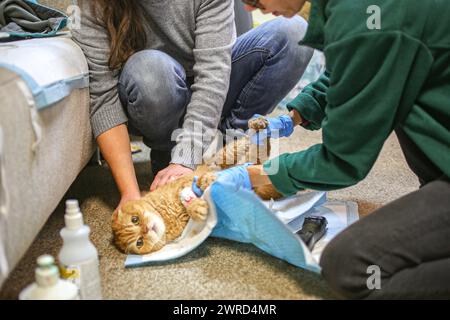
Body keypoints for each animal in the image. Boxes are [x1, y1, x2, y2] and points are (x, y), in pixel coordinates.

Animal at [112, 117, 282, 255]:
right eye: (139, 242)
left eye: (135, 219)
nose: (146, 229)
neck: (166, 215)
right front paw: (196, 207)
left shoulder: (183, 181)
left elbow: (194, 183)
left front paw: (204, 185)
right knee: (259, 155)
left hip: (226, 155)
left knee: (252, 143)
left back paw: (258, 124)